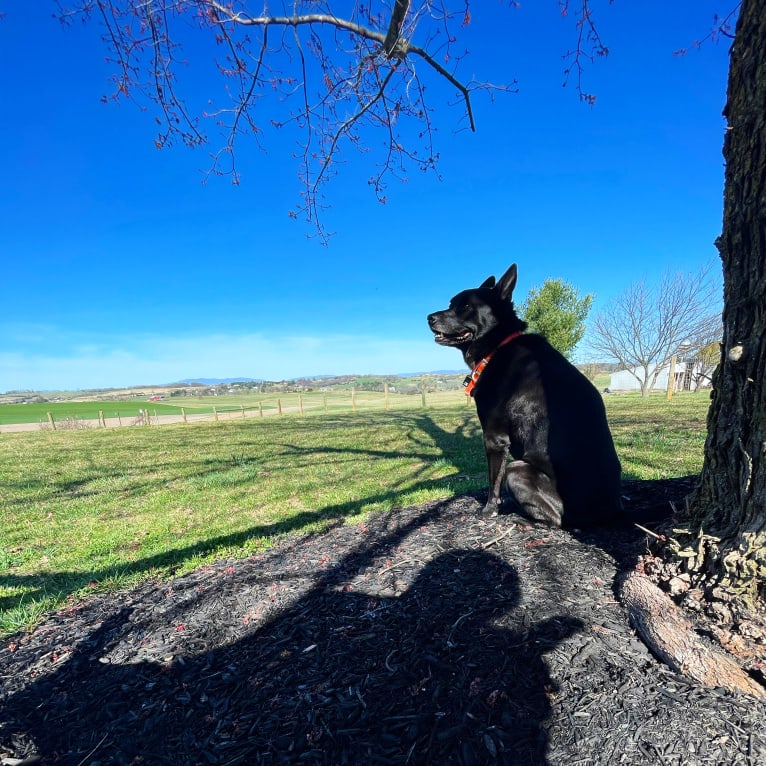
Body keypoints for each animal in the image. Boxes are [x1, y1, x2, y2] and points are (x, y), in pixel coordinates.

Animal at [428, 264, 628, 528]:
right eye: (451, 303)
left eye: (467, 307)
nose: (429, 317)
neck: (499, 345)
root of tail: (608, 513)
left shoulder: (494, 438)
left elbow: (493, 482)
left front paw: (489, 510)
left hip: (517, 468)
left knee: (554, 519)